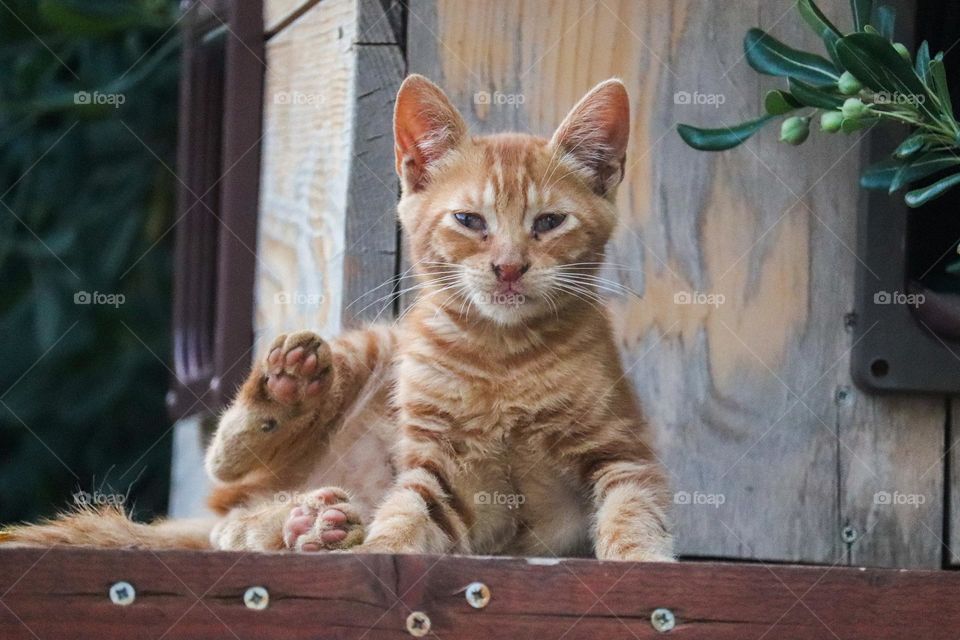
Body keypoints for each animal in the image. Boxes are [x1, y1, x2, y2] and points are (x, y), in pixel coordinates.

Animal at [1, 77, 676, 564]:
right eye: (470, 221)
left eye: (548, 223)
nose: (509, 268)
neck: (502, 356)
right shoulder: (438, 463)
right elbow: (409, 511)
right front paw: (381, 549)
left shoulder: (619, 449)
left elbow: (633, 510)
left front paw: (642, 566)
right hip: (373, 344)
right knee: (223, 480)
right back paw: (288, 410)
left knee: (231, 529)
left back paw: (311, 524)